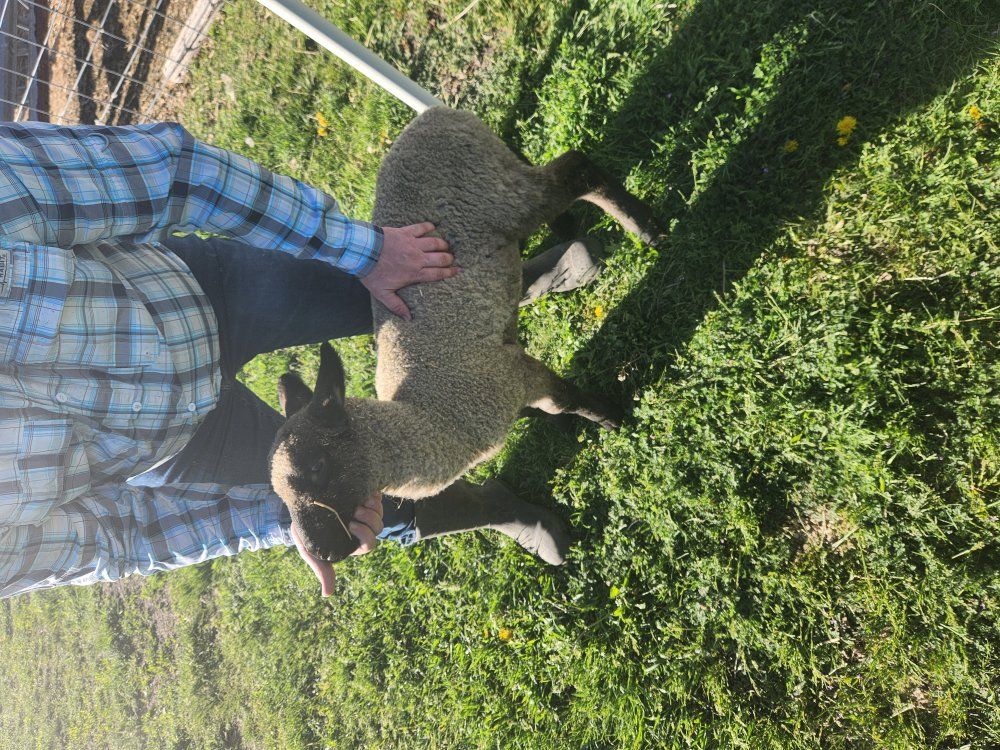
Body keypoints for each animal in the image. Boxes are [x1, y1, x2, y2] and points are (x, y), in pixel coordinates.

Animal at [269, 107, 661, 562]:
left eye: (318, 467)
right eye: (281, 497)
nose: (320, 551)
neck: (435, 417)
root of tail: (431, 116)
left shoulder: (511, 375)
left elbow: (569, 400)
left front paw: (614, 419)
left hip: (497, 197)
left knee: (575, 168)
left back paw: (645, 226)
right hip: (498, 170)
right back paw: (568, 228)